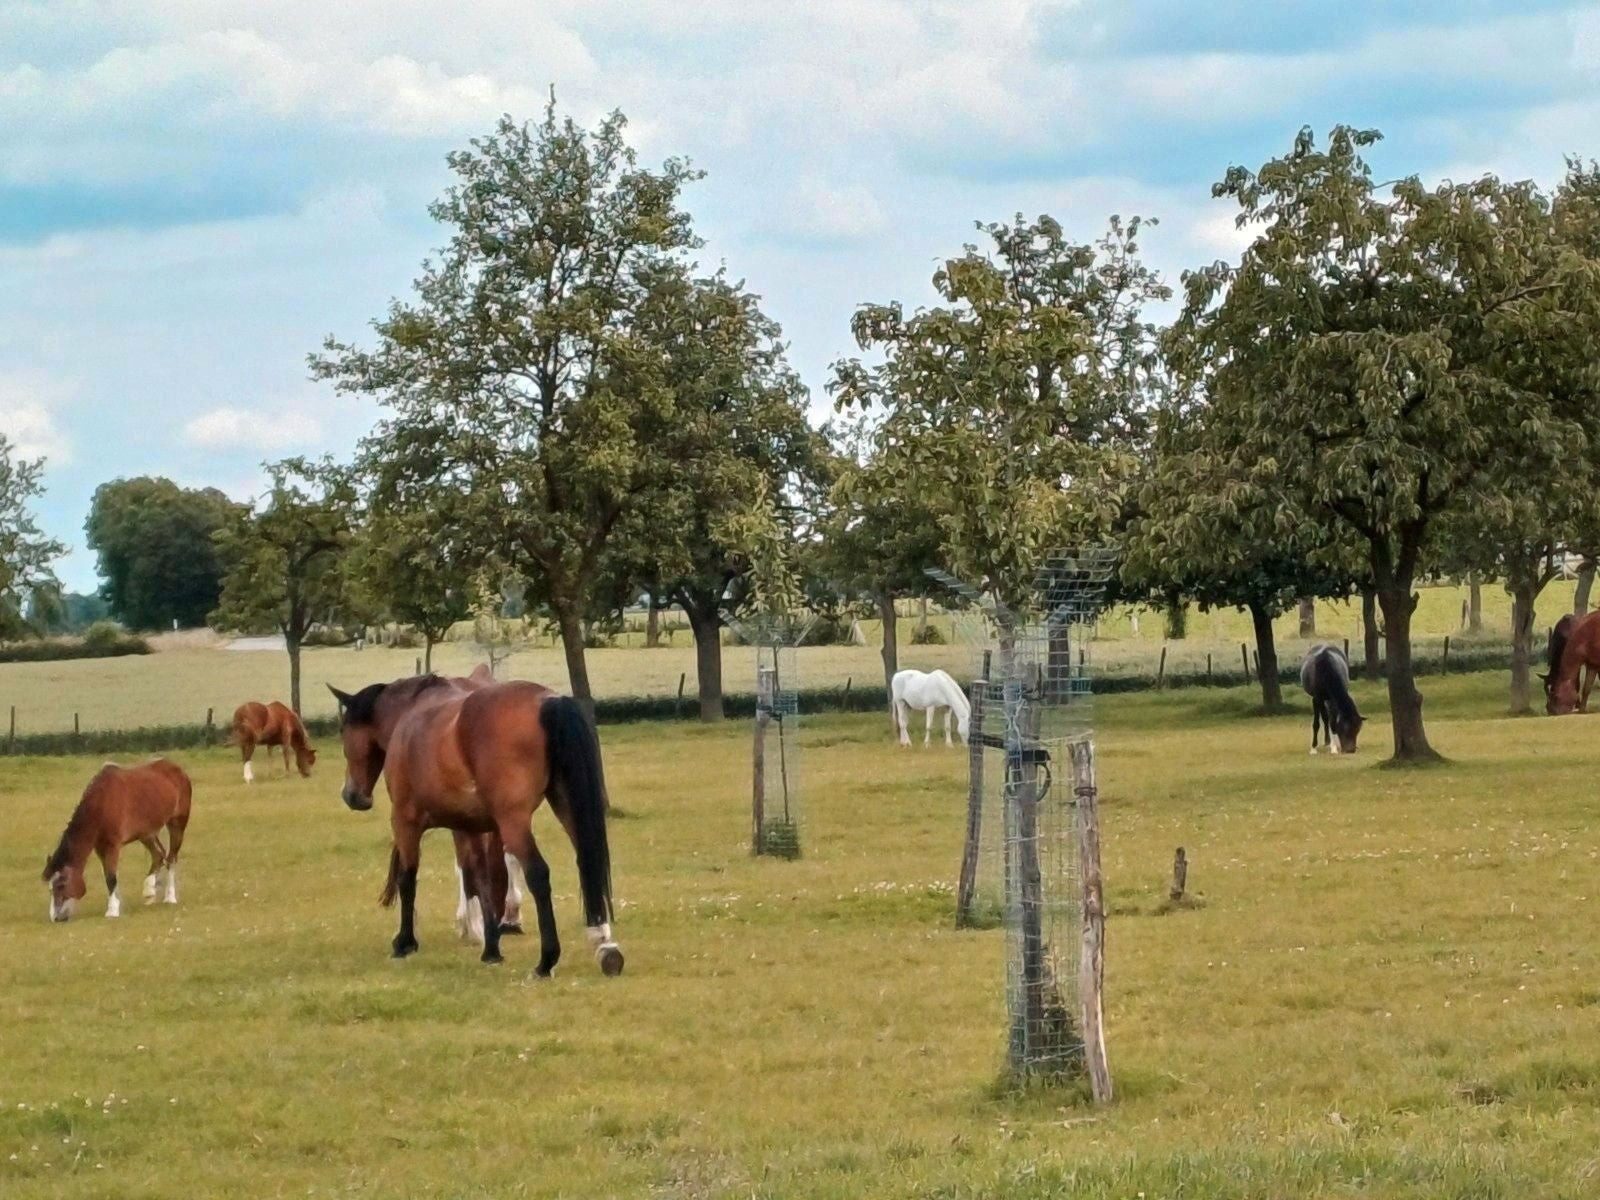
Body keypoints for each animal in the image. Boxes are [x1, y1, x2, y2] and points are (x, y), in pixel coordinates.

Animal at [43, 758, 191, 921]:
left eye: (61, 885)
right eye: (50, 888)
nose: (55, 918)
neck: (101, 803)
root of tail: (177, 768)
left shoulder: (112, 846)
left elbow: (111, 877)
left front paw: (112, 910)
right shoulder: (100, 848)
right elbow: (109, 877)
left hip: (177, 824)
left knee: (171, 858)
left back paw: (170, 897)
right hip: (146, 833)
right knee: (158, 855)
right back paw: (149, 892)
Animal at [328, 674, 621, 977]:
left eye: (343, 730)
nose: (351, 795)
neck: (409, 717)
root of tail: (549, 701)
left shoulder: (405, 821)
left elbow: (407, 878)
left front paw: (405, 942)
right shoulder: (471, 827)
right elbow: (481, 880)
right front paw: (491, 948)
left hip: (513, 823)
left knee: (538, 874)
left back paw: (546, 961)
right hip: (567, 806)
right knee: (588, 861)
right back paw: (605, 945)